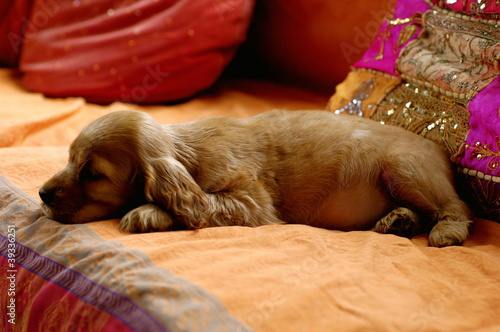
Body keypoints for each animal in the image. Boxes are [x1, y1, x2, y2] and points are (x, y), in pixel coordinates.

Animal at [40, 111, 472, 246]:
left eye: (93, 173)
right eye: (70, 159)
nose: (41, 194)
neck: (187, 152)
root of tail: (440, 148)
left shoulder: (251, 201)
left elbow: (202, 204)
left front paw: (148, 212)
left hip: (404, 166)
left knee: (456, 206)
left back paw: (447, 231)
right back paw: (399, 221)